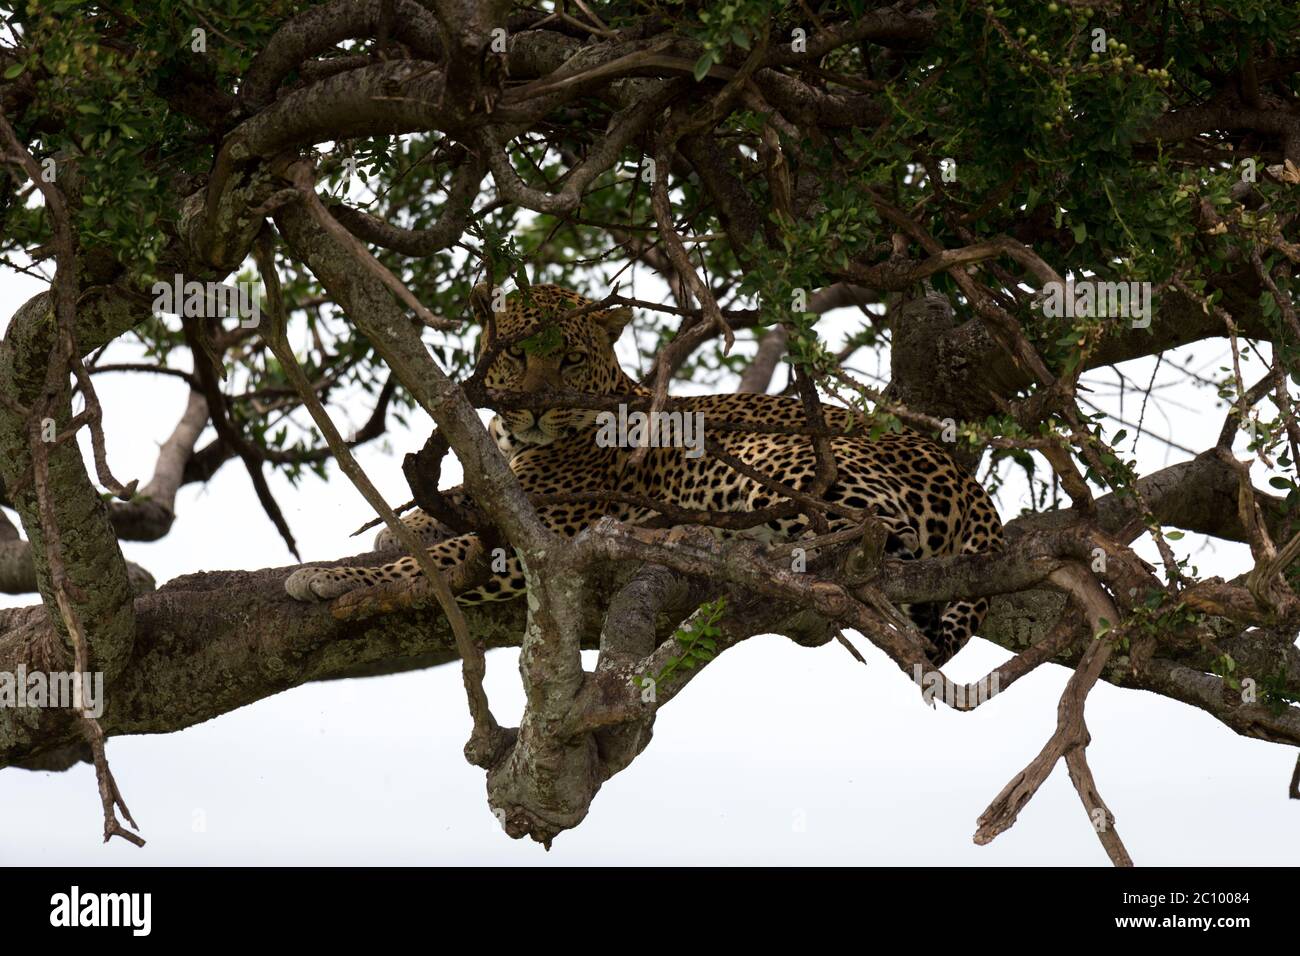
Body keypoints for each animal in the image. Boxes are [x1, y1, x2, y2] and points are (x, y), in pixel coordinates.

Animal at [287, 283, 1003, 665]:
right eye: (517, 353)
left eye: (570, 359)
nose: (538, 404)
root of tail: (973, 488)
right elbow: (453, 509)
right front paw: (398, 525)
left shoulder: (547, 538)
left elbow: (433, 562)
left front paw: (329, 575)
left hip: (771, 461)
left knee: (862, 535)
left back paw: (690, 538)